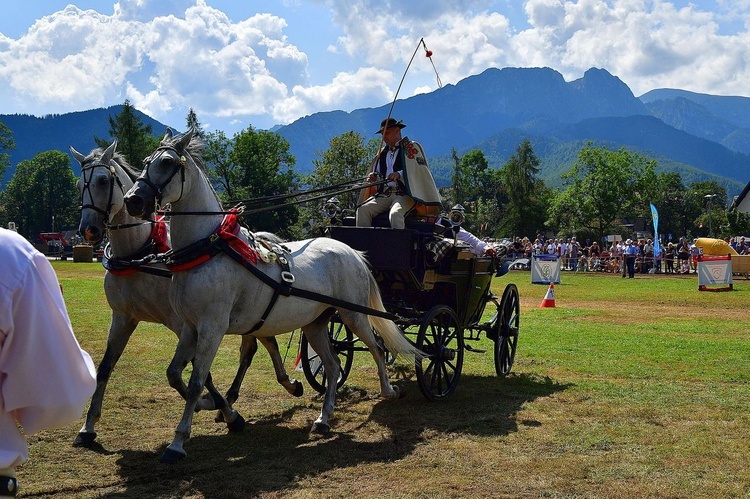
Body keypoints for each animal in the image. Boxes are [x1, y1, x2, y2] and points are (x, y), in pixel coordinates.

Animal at [123, 127, 424, 462]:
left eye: (166, 162)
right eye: (145, 162)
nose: (132, 200)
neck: (209, 249)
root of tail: (352, 252)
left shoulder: (212, 328)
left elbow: (196, 380)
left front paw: (179, 441)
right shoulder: (190, 327)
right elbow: (175, 374)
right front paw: (214, 407)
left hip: (354, 314)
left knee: (377, 349)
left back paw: (388, 391)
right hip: (316, 324)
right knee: (333, 366)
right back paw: (324, 417)